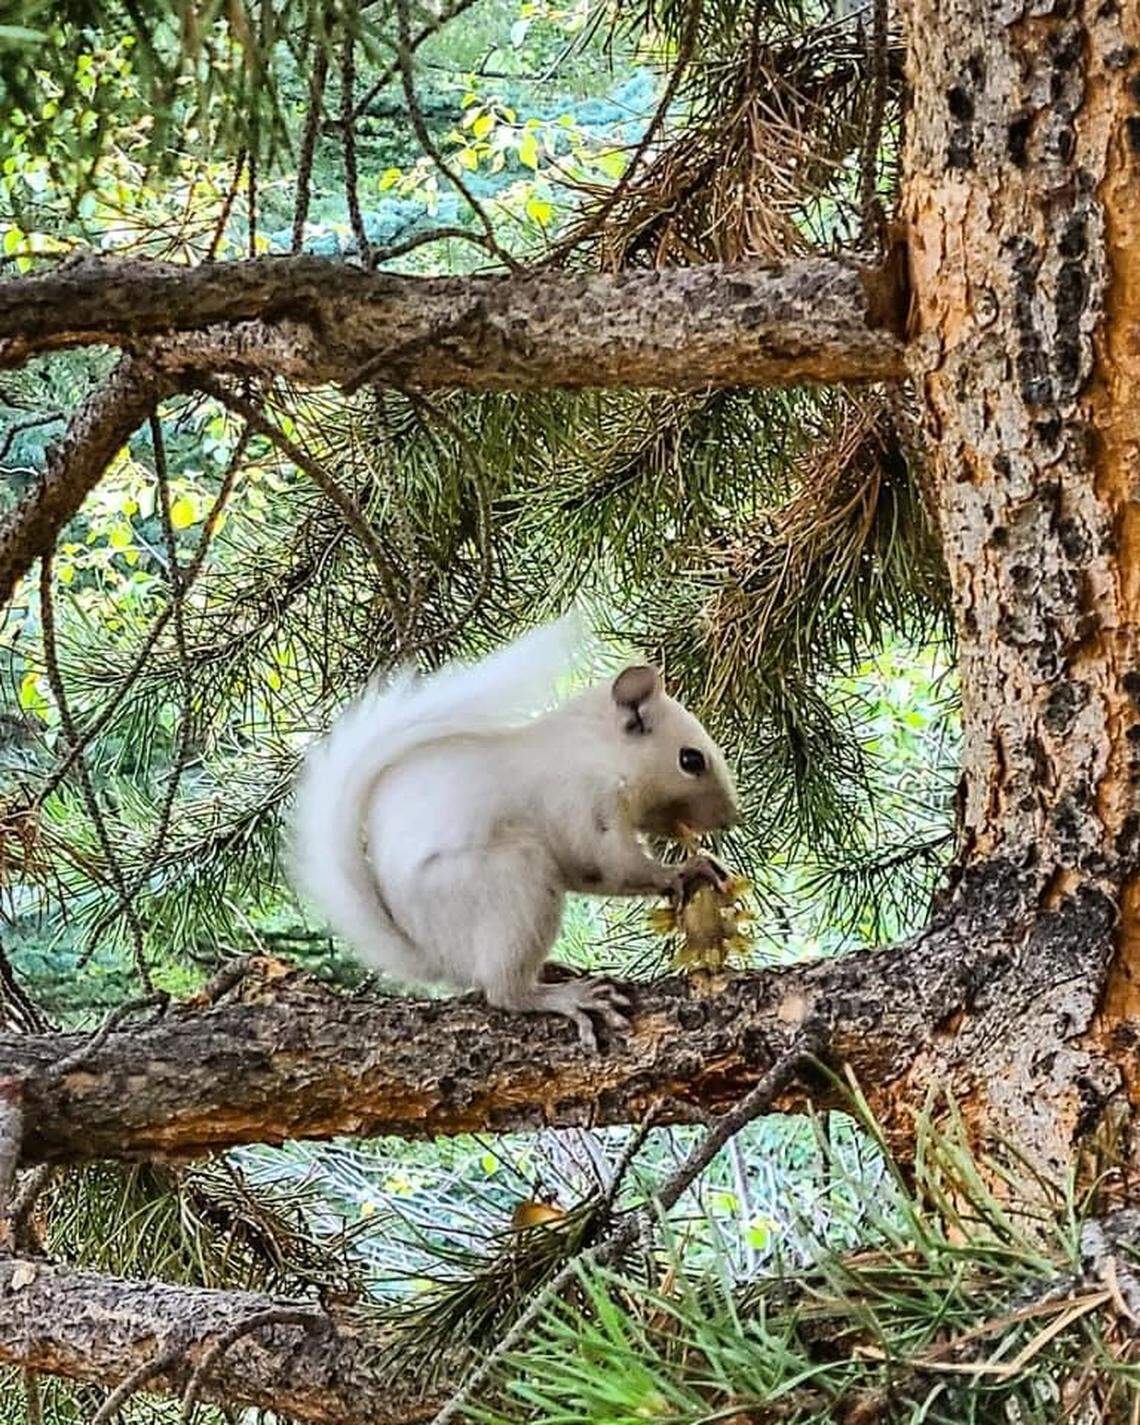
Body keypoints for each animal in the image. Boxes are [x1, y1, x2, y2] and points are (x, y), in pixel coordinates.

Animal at [289, 616, 738, 1049]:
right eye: (691, 760)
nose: (730, 818)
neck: (595, 750)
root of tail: (433, 954)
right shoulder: (583, 805)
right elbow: (612, 865)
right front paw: (683, 871)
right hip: (512, 879)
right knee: (504, 991)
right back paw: (566, 997)